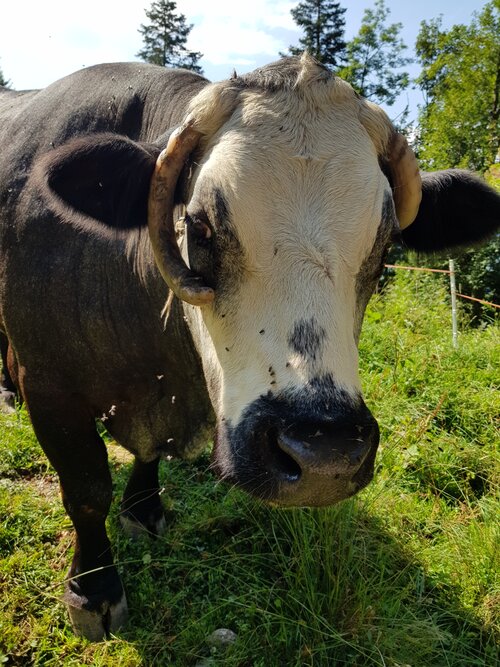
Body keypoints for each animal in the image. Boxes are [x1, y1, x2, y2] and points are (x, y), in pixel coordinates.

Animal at [0, 54, 498, 641]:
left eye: (386, 245)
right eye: (199, 227)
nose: (324, 456)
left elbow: (145, 458)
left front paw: (143, 511)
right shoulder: (49, 387)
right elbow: (86, 490)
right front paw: (93, 591)